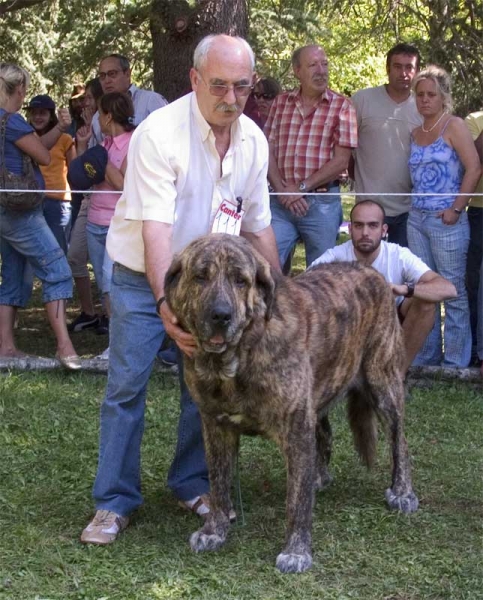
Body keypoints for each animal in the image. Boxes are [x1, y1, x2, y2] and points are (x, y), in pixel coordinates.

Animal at [164, 232, 418, 576]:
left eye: (241, 281)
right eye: (200, 277)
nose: (221, 315)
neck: (238, 357)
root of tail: (369, 270)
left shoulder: (296, 428)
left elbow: (296, 501)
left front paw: (296, 551)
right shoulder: (215, 426)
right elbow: (218, 484)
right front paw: (214, 531)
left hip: (383, 383)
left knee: (399, 439)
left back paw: (402, 491)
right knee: (324, 435)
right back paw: (319, 476)